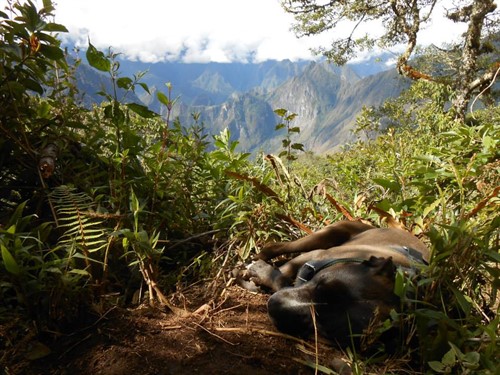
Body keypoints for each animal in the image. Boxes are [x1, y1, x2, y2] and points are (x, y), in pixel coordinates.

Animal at [239, 222, 430, 348]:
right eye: (321, 284)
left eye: (322, 328)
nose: (275, 306)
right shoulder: (315, 256)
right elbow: (282, 273)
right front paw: (259, 272)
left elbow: (282, 280)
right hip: (325, 235)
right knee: (278, 247)